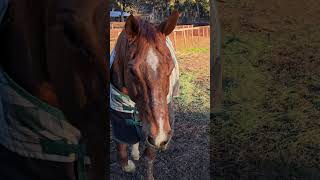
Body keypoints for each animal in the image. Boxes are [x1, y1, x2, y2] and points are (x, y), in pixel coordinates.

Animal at [110, 11, 180, 179]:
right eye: (132, 71)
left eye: (171, 67)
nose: (161, 136)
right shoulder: (120, 121)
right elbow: (123, 158)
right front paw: (131, 162)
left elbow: (149, 157)